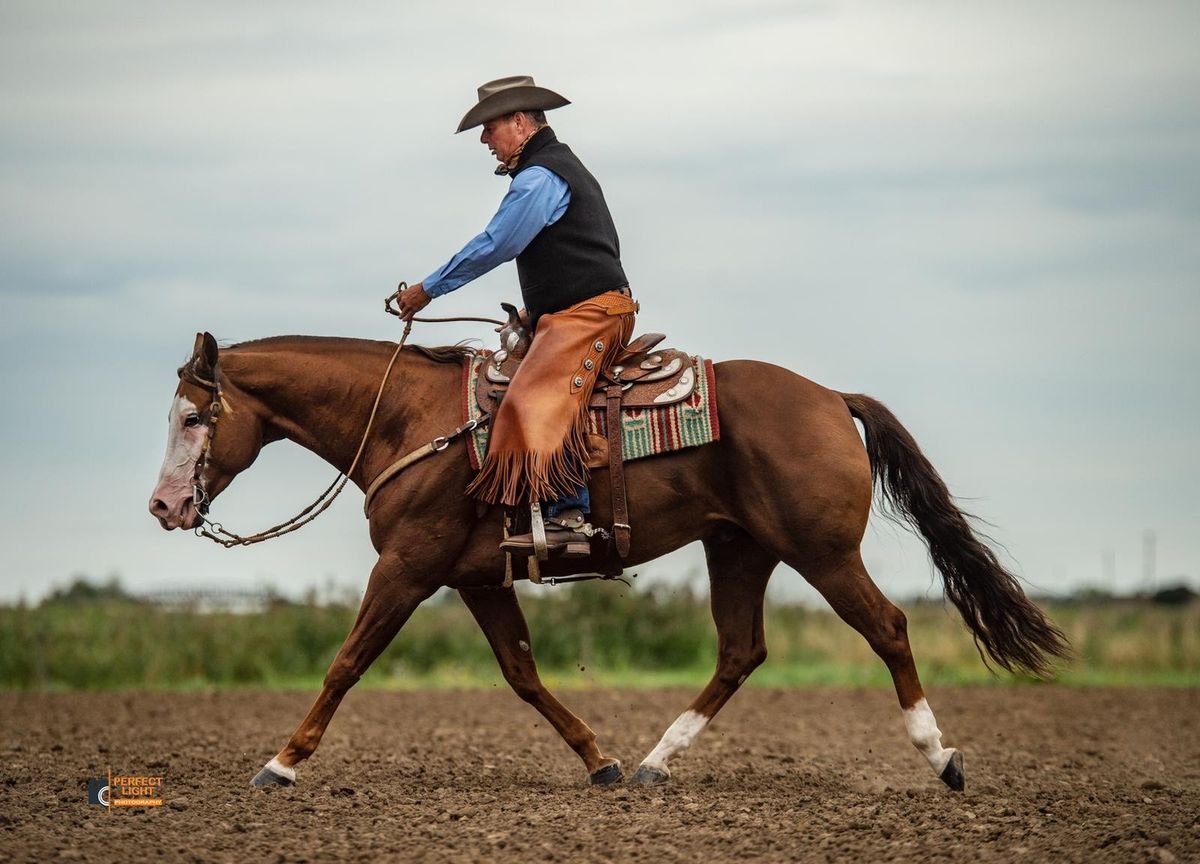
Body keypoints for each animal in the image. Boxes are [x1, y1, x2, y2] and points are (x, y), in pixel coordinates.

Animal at [150, 333, 1070, 792]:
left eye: (194, 417)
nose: (164, 507)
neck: (412, 418)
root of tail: (830, 397)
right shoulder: (475, 579)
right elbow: (522, 674)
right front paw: (600, 762)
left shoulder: (408, 568)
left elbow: (346, 663)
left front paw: (280, 764)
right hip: (739, 549)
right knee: (741, 652)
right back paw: (657, 763)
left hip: (822, 553)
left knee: (888, 627)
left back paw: (941, 757)